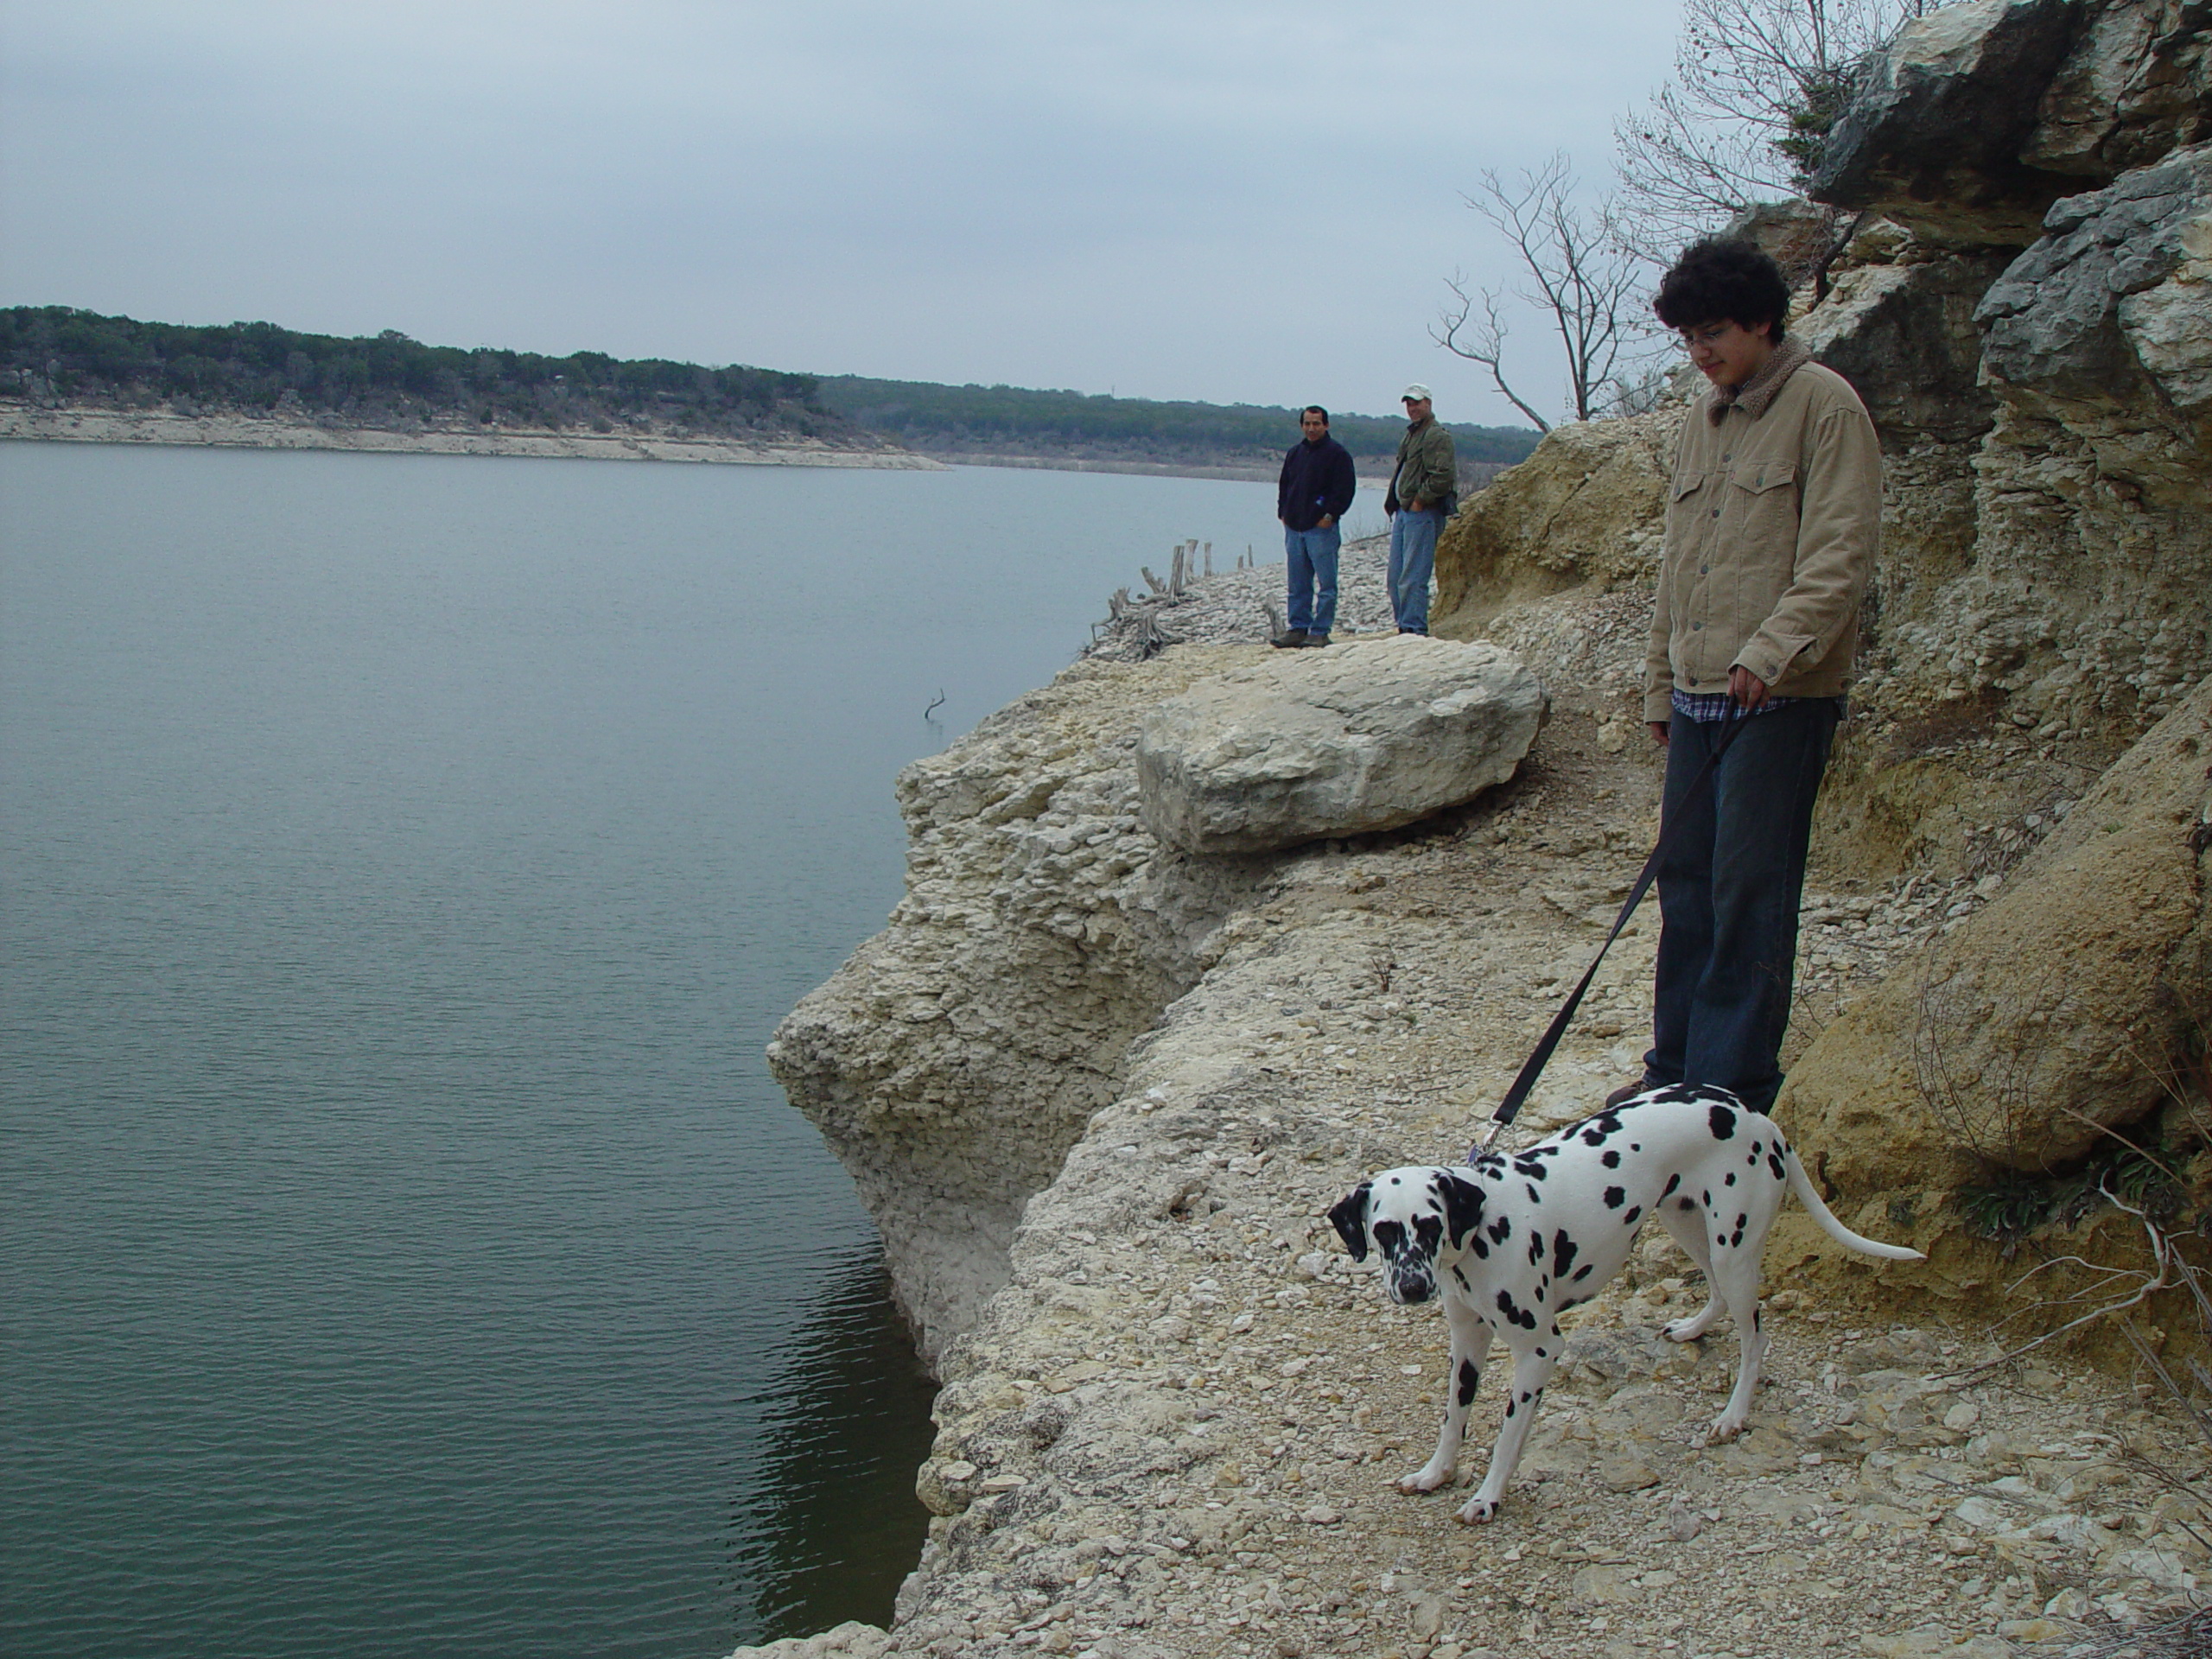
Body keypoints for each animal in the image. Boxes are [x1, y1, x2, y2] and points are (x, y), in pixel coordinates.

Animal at [1327, 1084, 1920, 1530]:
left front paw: (1487, 1498)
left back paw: (1733, 1416)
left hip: (1734, 1249)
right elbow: (1454, 1418)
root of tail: (1758, 1118)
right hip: (1688, 1225)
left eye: (1430, 1224)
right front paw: (1436, 1474)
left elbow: (1506, 1436)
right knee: (1717, 1295)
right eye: (1385, 1230)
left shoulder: (1540, 1351)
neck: (1481, 1229)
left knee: (1755, 1337)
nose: (1412, 1287)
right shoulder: (1467, 1343)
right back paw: (1692, 1331)